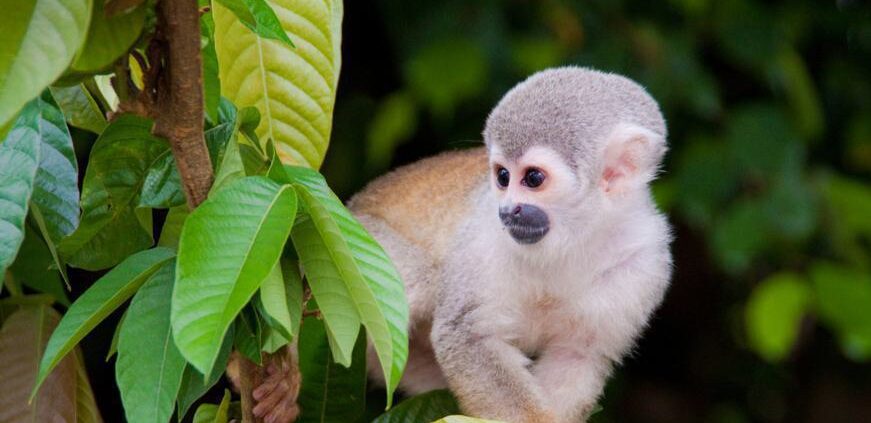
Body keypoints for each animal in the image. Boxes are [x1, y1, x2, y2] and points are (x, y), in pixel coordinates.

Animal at [252, 68, 676, 422]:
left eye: (533, 178)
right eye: (502, 176)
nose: (507, 210)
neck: (573, 239)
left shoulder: (645, 267)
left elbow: (579, 354)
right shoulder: (483, 236)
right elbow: (464, 335)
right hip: (340, 239)